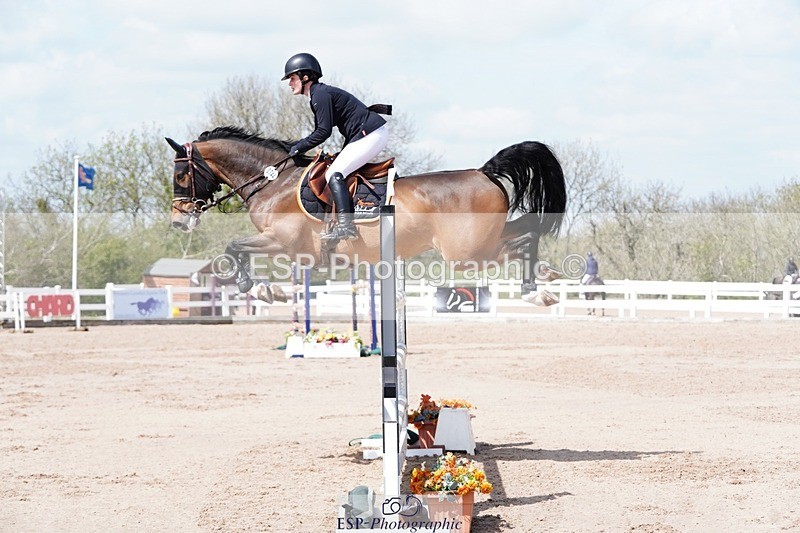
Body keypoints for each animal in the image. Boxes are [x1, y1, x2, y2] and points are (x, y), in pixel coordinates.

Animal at [166, 127, 567, 305]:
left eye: (181, 175)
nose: (179, 221)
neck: (275, 182)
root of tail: (483, 172)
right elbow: (236, 249)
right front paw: (266, 288)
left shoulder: (285, 244)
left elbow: (234, 247)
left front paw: (261, 288)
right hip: (478, 242)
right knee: (525, 232)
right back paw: (545, 278)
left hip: (466, 253)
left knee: (521, 240)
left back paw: (536, 290)